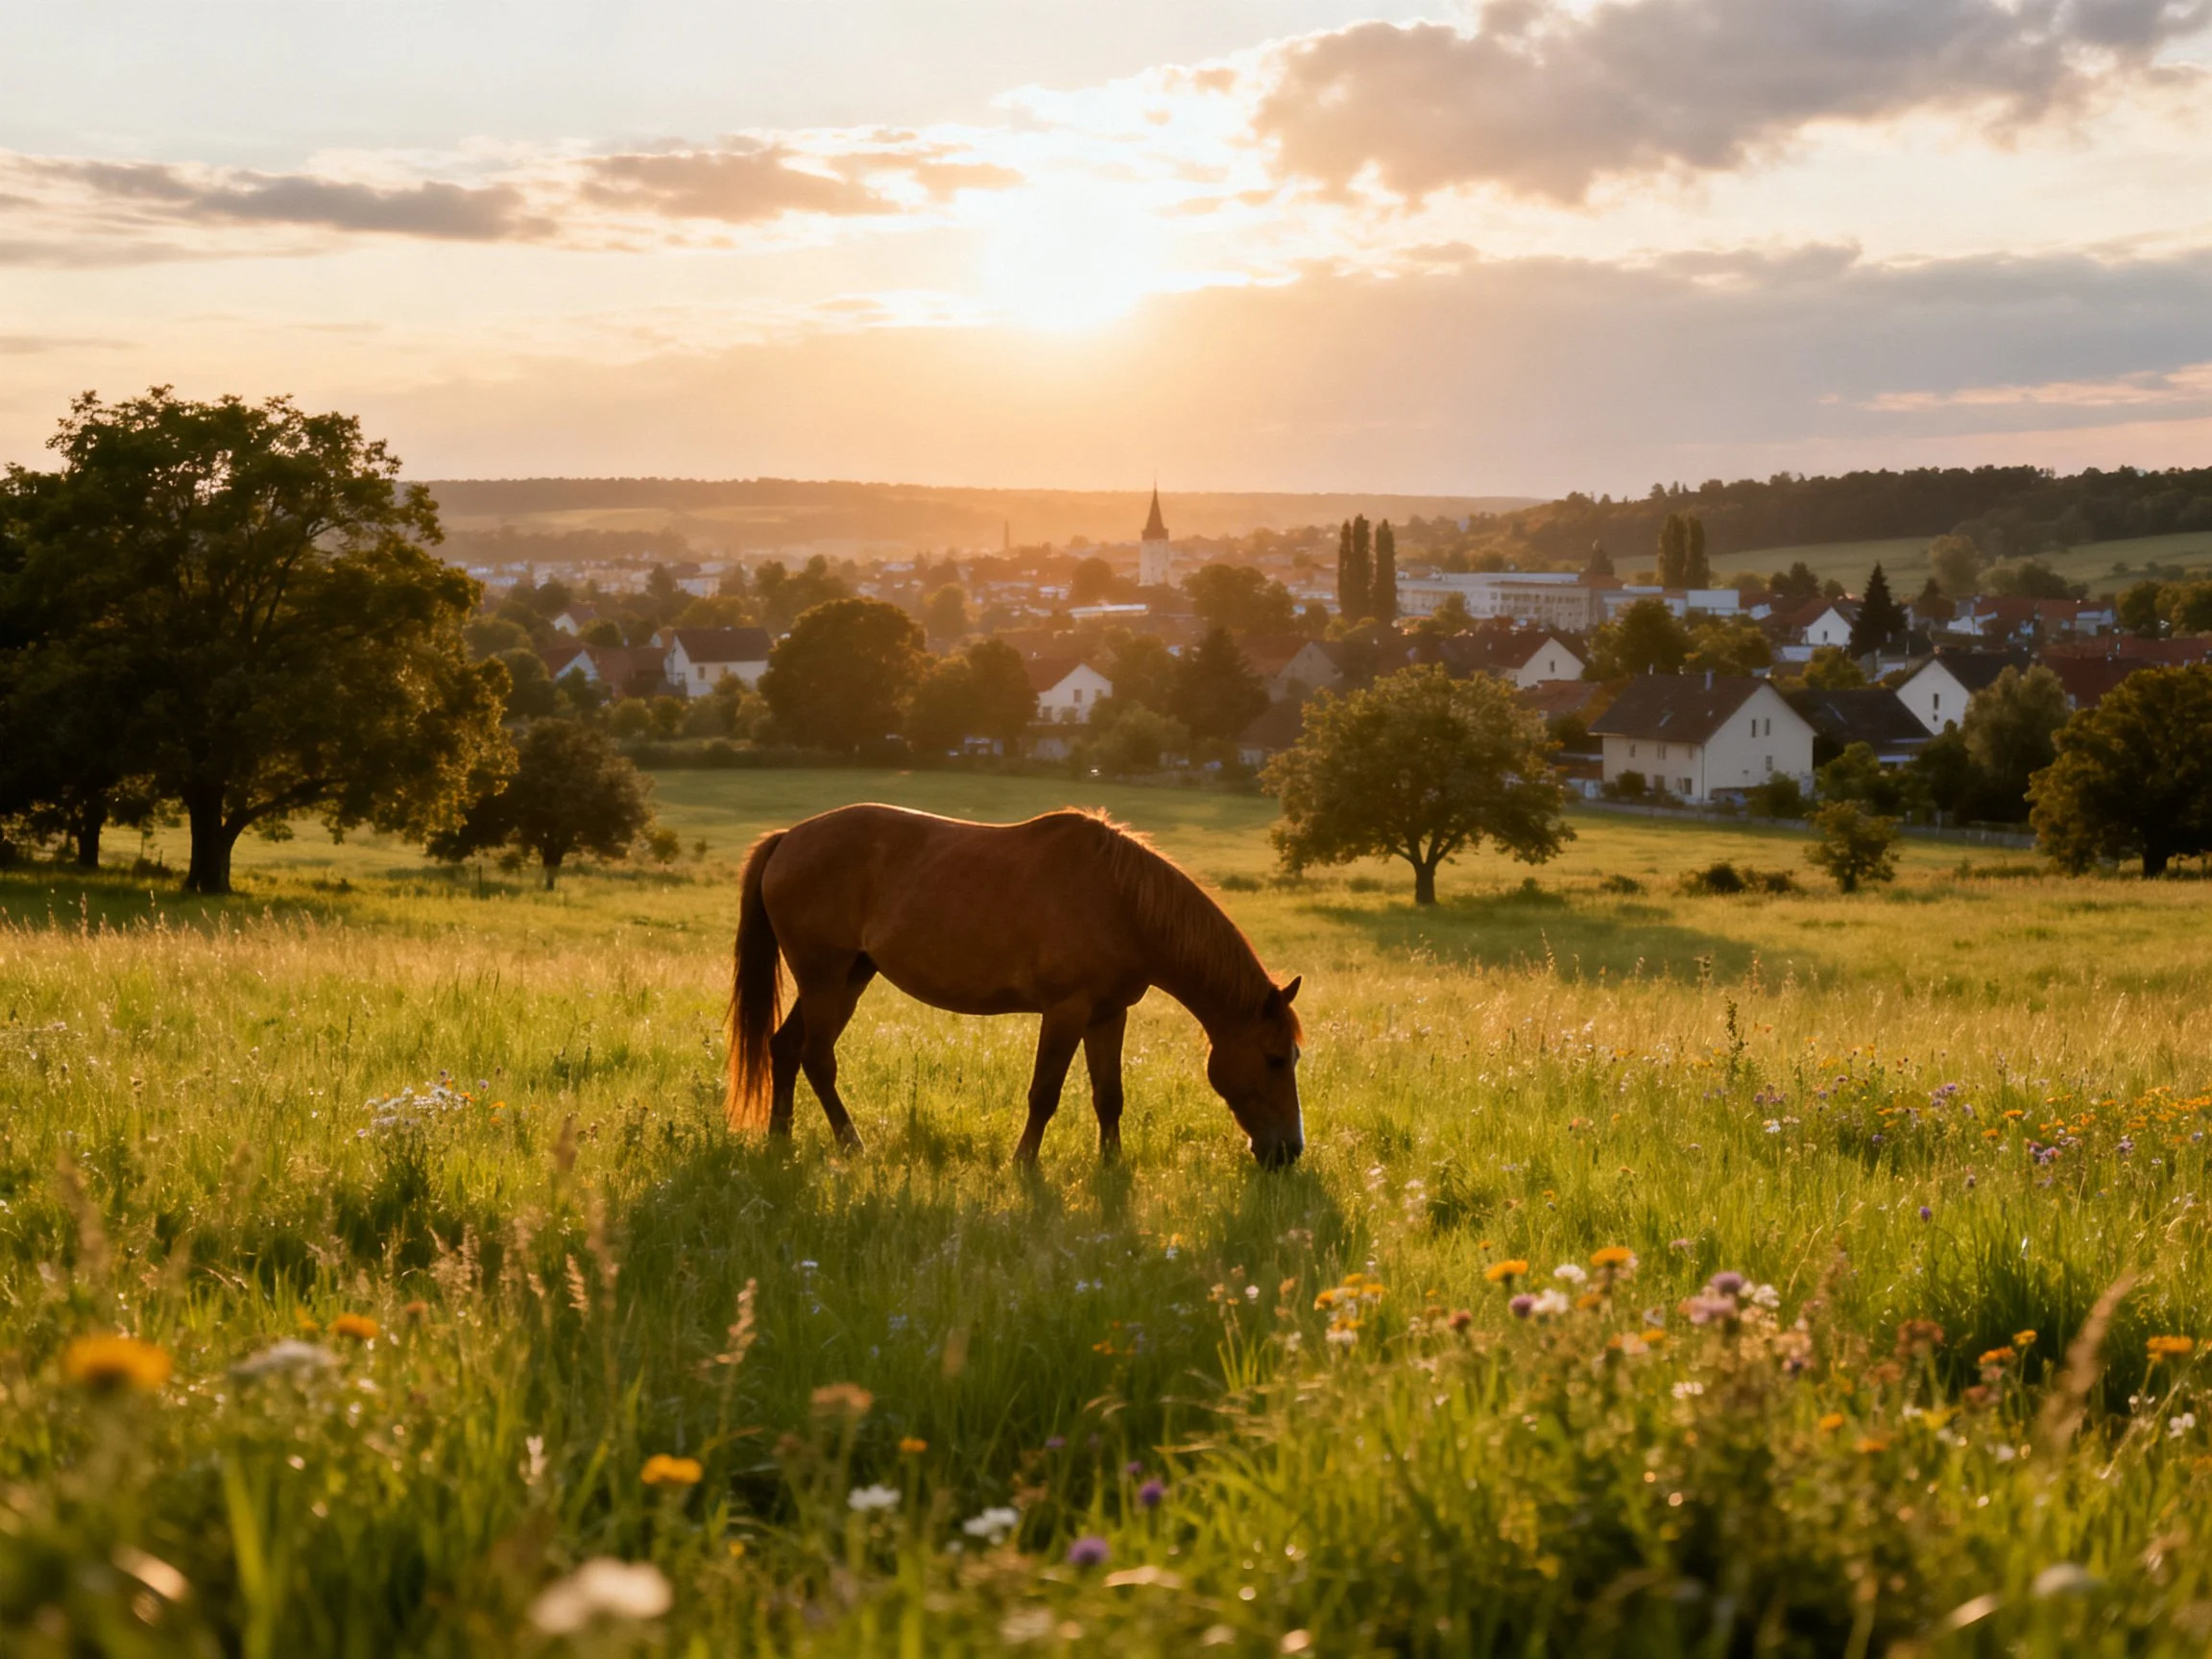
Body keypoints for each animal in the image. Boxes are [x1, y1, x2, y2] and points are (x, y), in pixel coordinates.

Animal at [724, 804, 1305, 1166]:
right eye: (1276, 1058)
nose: (1289, 1152)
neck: (1122, 903)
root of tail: (787, 840)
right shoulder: (1066, 1011)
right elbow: (1044, 1093)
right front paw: (1023, 1163)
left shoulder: (1108, 1014)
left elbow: (1109, 1095)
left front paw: (1112, 1165)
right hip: (823, 977)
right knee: (817, 1058)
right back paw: (852, 1146)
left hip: (848, 977)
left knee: (785, 1047)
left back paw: (780, 1138)